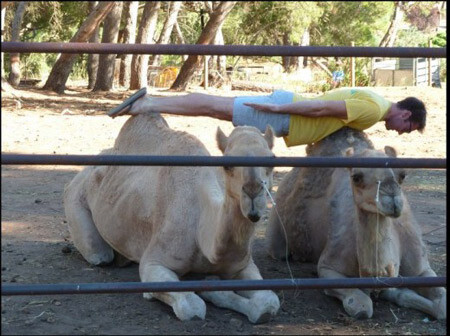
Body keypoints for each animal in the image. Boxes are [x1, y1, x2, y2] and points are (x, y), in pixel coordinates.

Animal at [64, 113, 280, 322]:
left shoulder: (242, 265)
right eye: (227, 164)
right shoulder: (153, 263)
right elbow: (192, 307)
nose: (253, 191)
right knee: (99, 254)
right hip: (76, 197)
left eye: (273, 159)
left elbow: (268, 302)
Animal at [266, 126, 444, 320]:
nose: (392, 199)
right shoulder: (328, 267)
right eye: (356, 177)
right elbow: (361, 306)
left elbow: (441, 305)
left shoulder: (421, 268)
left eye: (403, 174)